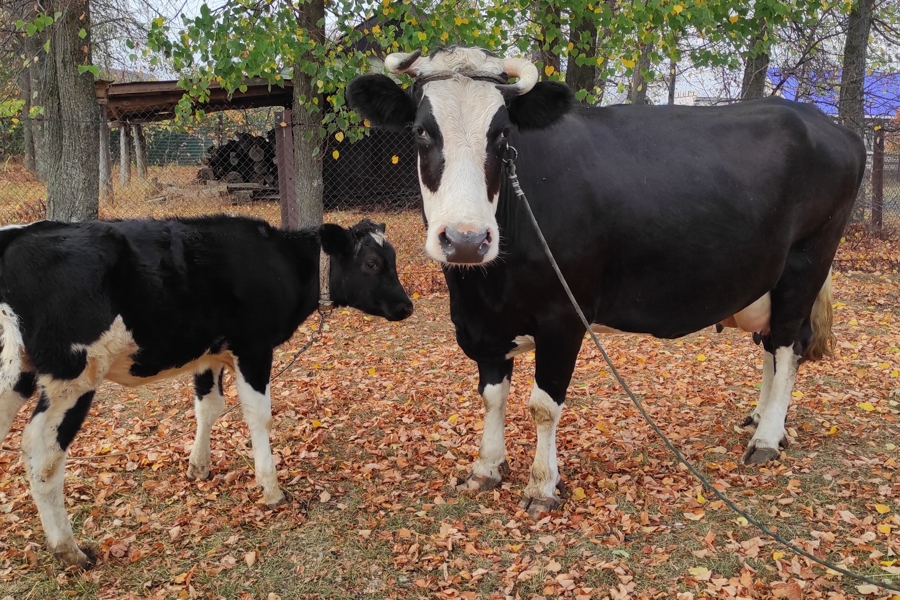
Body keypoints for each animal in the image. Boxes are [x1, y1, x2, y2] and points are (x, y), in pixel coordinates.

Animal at [0, 214, 414, 568]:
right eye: (372, 263)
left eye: (391, 259)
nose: (406, 306)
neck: (281, 263)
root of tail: (16, 236)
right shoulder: (253, 348)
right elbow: (258, 416)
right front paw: (271, 489)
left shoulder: (209, 354)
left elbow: (209, 406)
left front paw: (198, 466)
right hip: (73, 377)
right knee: (43, 451)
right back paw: (69, 550)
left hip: (16, 376)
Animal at [348, 45, 868, 516]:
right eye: (421, 132)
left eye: (500, 136)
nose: (466, 240)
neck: (483, 287)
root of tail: (828, 124)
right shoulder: (484, 323)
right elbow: (492, 397)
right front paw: (487, 467)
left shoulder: (563, 317)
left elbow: (543, 406)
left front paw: (542, 486)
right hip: (766, 278)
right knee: (773, 345)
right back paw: (761, 418)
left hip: (807, 260)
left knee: (787, 344)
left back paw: (767, 438)